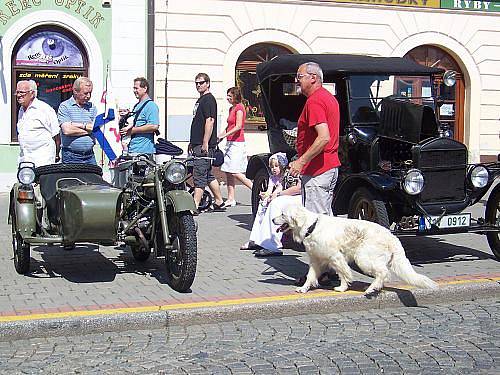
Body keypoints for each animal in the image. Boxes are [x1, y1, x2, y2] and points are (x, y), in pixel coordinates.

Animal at [274, 206, 438, 296]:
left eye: (282, 214)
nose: (272, 220)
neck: (311, 226)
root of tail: (392, 237)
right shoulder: (315, 260)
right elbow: (310, 277)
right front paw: (303, 289)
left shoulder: (336, 257)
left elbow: (344, 274)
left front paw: (342, 288)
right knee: (383, 274)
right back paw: (374, 287)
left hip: (363, 258)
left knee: (384, 273)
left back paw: (371, 289)